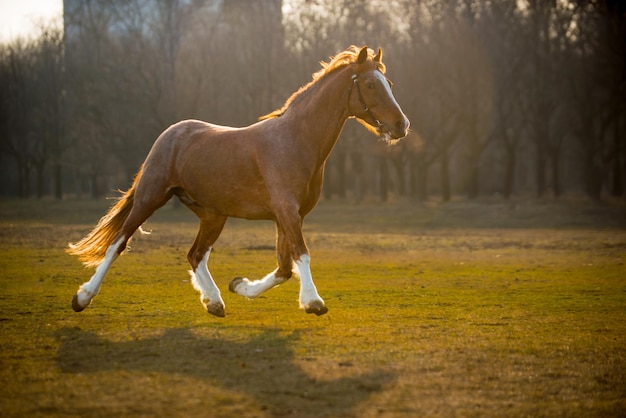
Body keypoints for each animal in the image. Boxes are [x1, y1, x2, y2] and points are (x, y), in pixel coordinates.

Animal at [68, 45, 410, 318]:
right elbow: (301, 254)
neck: (295, 142)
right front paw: (313, 301)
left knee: (195, 254)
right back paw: (83, 297)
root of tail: (170, 134)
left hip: (212, 215)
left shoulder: (288, 216)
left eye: (390, 84)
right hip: (150, 198)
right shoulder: (287, 211)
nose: (401, 125)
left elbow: (284, 268)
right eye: (370, 84)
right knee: (118, 243)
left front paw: (240, 286)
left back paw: (214, 301)